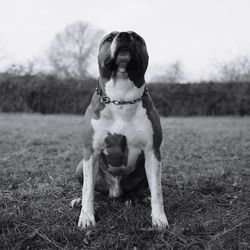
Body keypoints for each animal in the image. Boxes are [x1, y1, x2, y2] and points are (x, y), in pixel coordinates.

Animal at [69, 30, 169, 229]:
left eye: (137, 37)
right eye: (109, 38)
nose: (124, 35)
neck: (121, 98)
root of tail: (115, 191)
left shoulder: (152, 152)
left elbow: (157, 191)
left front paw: (159, 218)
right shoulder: (91, 151)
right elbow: (87, 190)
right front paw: (87, 217)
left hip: (144, 168)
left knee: (141, 189)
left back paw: (139, 198)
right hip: (80, 166)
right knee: (92, 190)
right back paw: (79, 201)